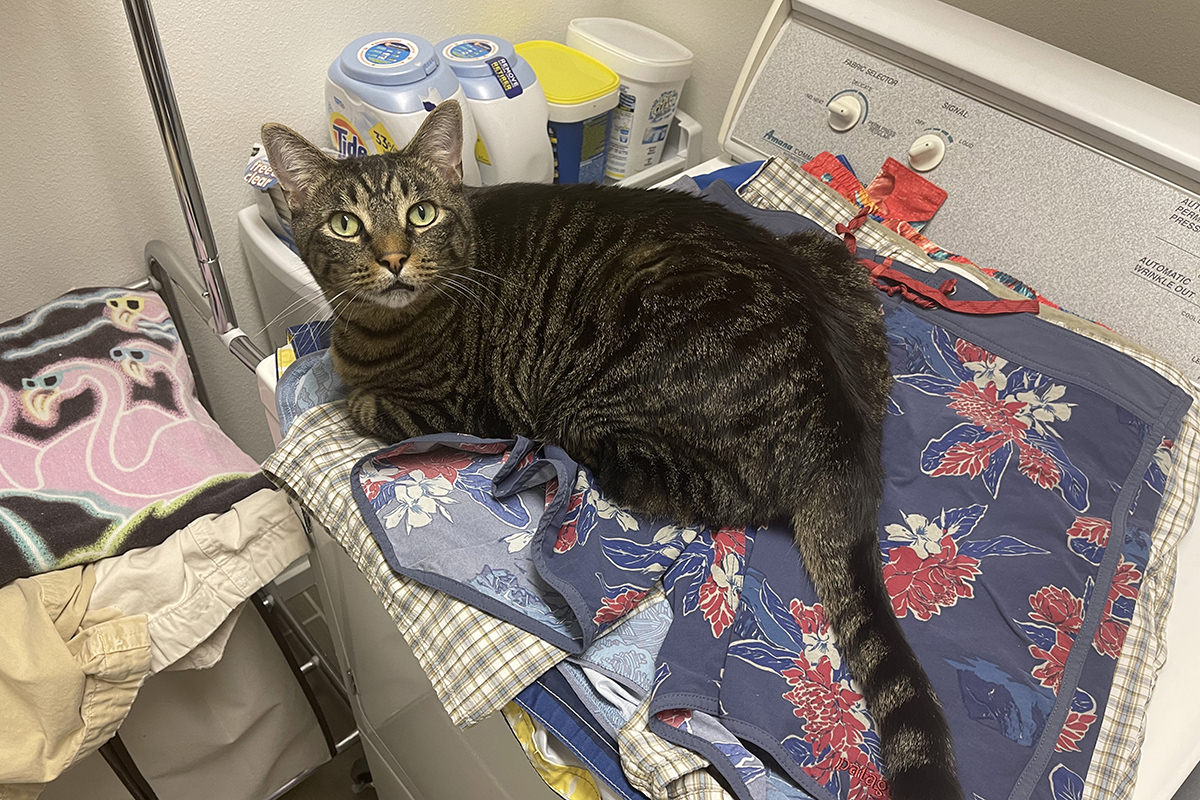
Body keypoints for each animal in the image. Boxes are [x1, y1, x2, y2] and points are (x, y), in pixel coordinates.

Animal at [260, 101, 955, 800]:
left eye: (421, 213)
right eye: (346, 225)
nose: (395, 259)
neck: (380, 327)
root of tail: (845, 431)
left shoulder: (454, 406)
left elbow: (362, 402)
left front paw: (352, 383)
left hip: (593, 409)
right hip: (830, 259)